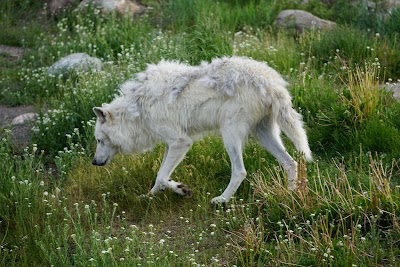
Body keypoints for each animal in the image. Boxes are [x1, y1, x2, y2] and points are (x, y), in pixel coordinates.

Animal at [92, 55, 310, 204]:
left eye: (99, 140)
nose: (94, 162)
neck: (138, 109)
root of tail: (271, 81)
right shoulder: (171, 145)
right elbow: (160, 177)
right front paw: (149, 196)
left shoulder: (181, 142)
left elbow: (162, 175)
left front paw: (181, 190)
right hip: (264, 135)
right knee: (290, 162)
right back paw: (290, 195)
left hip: (230, 135)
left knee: (240, 171)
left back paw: (222, 200)